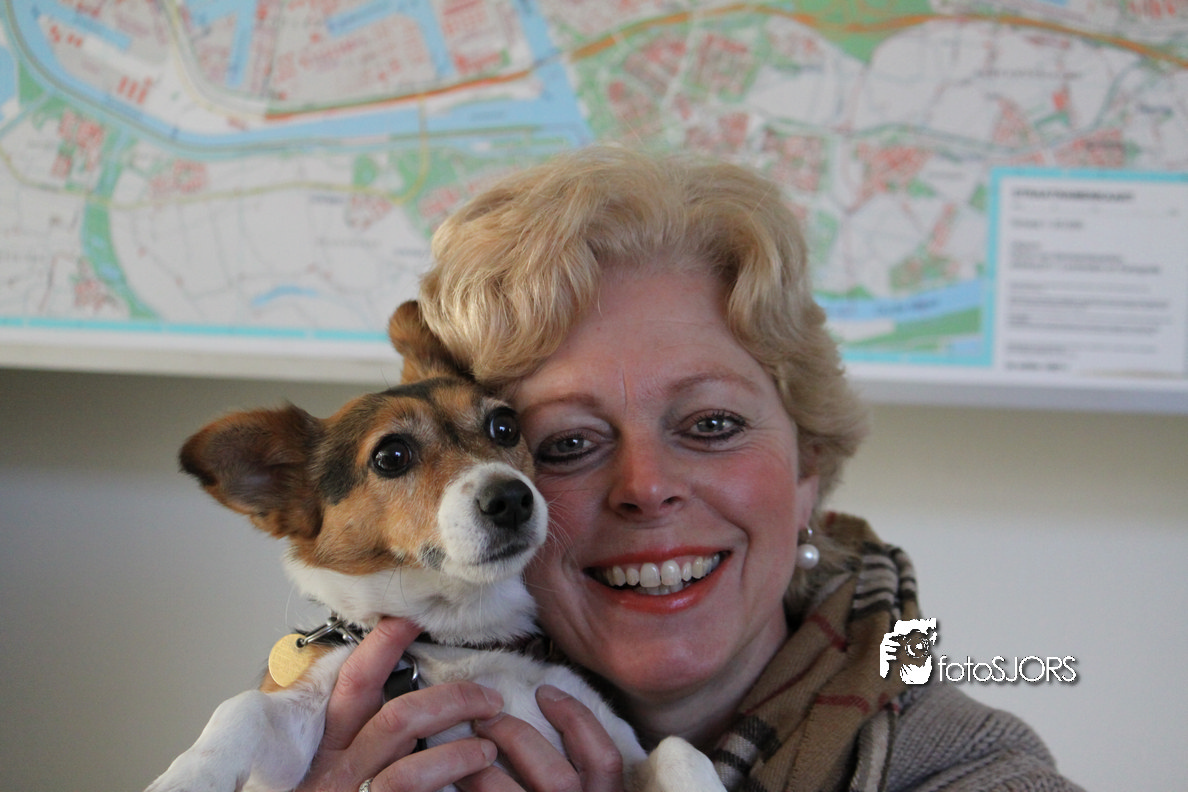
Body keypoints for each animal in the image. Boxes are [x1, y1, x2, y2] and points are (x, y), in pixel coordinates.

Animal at [145, 301, 724, 792]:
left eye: (505, 425)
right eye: (391, 456)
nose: (511, 499)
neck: (460, 638)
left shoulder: (615, 741)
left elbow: (680, 750)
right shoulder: (301, 727)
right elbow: (241, 710)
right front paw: (186, 778)